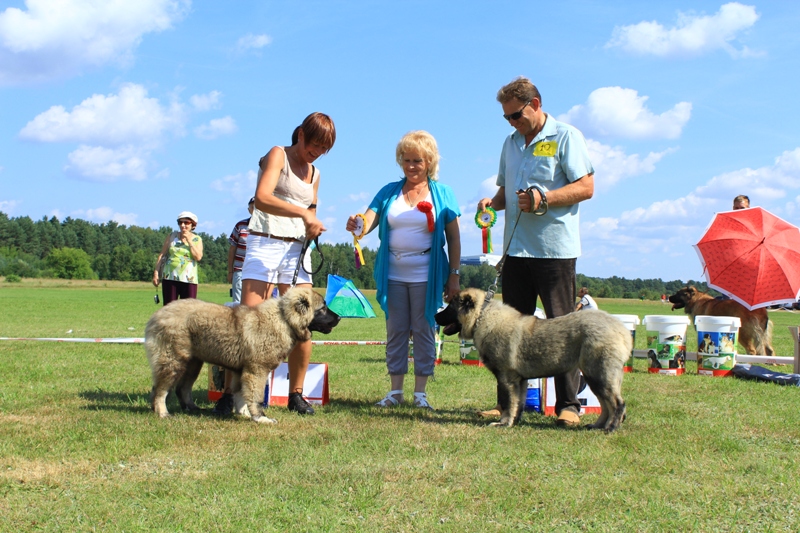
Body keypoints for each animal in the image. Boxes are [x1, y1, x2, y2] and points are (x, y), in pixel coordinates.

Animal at [145, 286, 340, 424]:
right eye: (322, 308)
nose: (339, 317)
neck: (284, 319)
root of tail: (157, 315)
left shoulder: (241, 371)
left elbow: (241, 394)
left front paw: (244, 414)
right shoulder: (257, 370)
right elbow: (255, 397)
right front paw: (261, 418)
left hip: (193, 362)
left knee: (181, 388)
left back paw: (192, 409)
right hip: (173, 361)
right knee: (160, 390)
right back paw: (163, 413)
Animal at [438, 286, 632, 432]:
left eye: (450, 307)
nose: (435, 316)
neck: (482, 316)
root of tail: (622, 331)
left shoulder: (507, 379)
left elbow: (509, 403)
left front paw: (503, 423)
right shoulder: (520, 380)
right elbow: (518, 403)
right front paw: (514, 421)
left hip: (599, 374)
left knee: (617, 403)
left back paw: (610, 428)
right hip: (596, 377)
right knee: (606, 404)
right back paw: (598, 425)